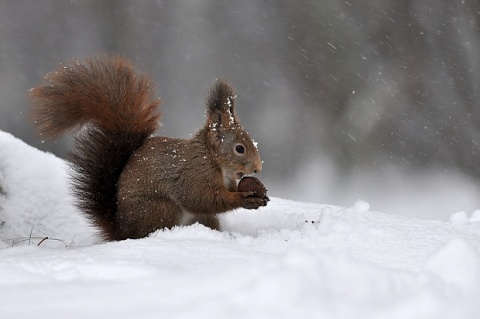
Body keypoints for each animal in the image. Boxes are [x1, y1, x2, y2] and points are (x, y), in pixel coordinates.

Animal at [30, 55, 268, 240]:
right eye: (240, 148)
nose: (257, 169)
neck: (212, 158)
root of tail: (123, 232)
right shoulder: (194, 173)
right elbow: (203, 198)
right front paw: (244, 198)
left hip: (203, 218)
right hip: (162, 210)